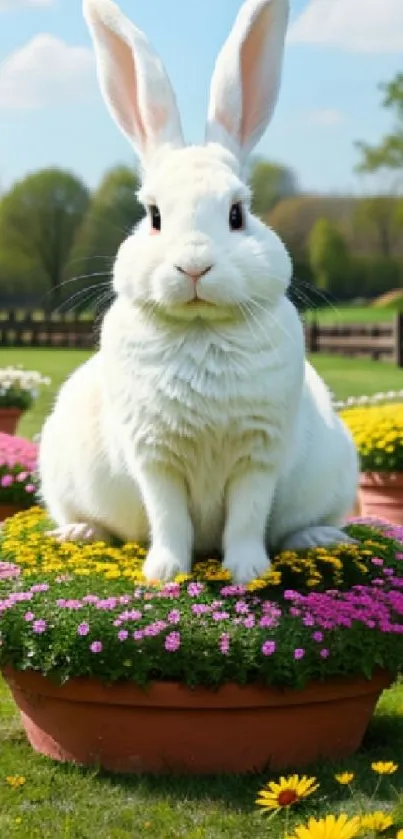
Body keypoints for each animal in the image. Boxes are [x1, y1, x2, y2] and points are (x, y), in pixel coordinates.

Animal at [38, 0, 360, 584]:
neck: (200, 326)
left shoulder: (259, 454)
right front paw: (165, 572)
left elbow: (248, 518)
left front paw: (248, 572)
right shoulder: (154, 457)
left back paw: (318, 536)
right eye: (153, 215)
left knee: (301, 524)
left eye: (237, 213)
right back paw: (78, 532)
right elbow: (169, 518)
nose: (194, 266)